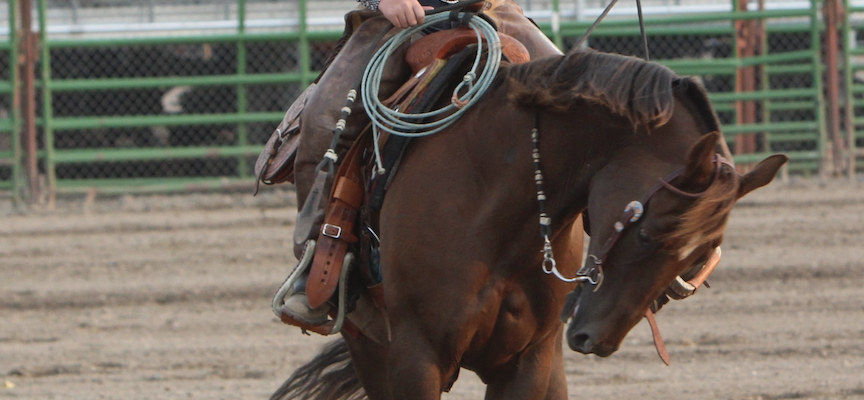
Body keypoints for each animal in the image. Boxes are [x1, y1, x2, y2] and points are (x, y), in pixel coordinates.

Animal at [271, 42, 787, 399]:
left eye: (696, 260)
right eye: (648, 232)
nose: (595, 338)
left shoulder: (529, 361)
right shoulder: (414, 359)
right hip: (370, 347)